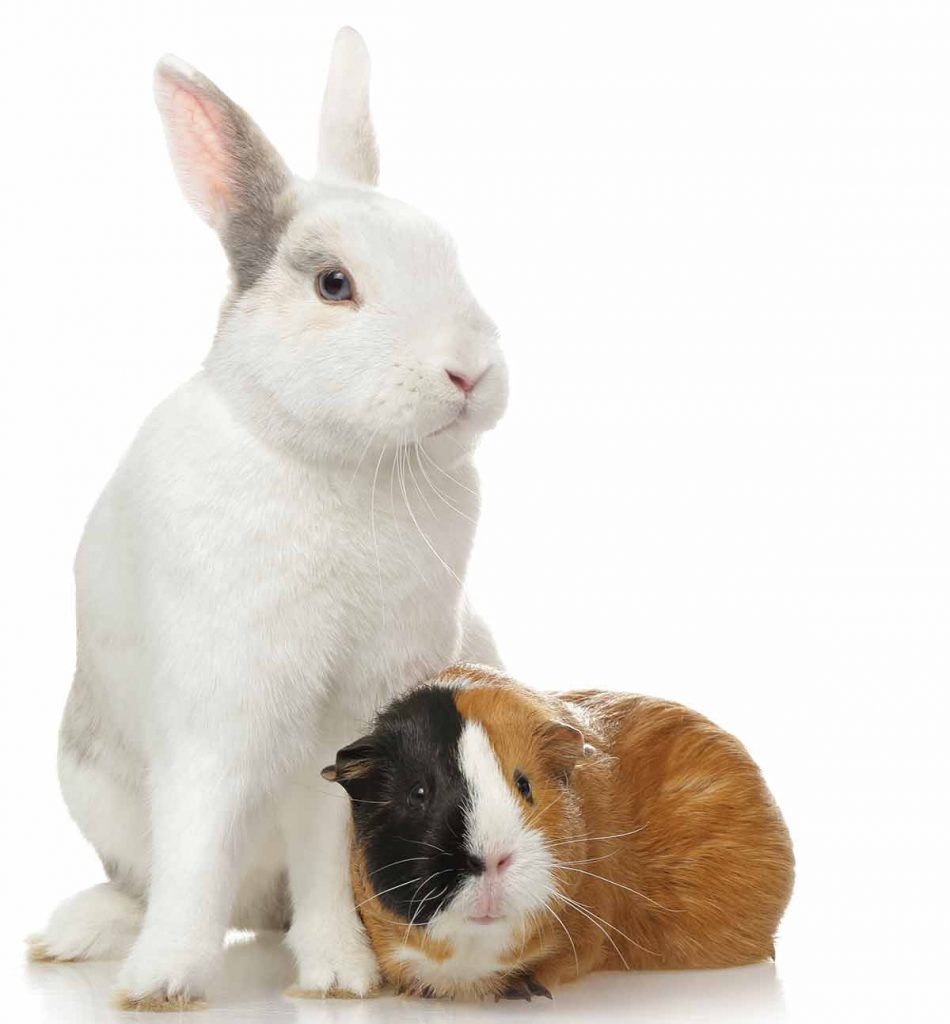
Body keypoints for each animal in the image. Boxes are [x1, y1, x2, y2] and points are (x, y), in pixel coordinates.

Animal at [28, 27, 508, 1011]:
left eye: (448, 255)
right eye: (334, 284)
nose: (470, 371)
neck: (341, 468)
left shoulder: (351, 722)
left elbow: (328, 852)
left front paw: (340, 975)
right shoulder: (220, 703)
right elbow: (197, 841)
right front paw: (163, 983)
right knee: (151, 878)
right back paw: (81, 932)